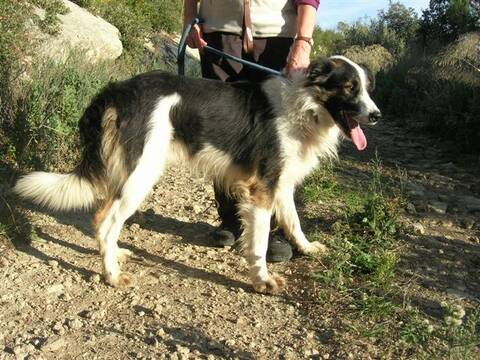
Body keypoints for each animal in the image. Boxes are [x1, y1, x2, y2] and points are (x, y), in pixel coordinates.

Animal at [15, 55, 380, 292]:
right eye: (349, 87)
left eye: (366, 88)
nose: (376, 115)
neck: (305, 106)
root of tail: (117, 90)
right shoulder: (261, 189)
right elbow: (260, 241)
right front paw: (262, 280)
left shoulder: (280, 183)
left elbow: (293, 221)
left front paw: (306, 248)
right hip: (142, 173)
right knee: (106, 221)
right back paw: (112, 275)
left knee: (104, 219)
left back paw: (115, 255)